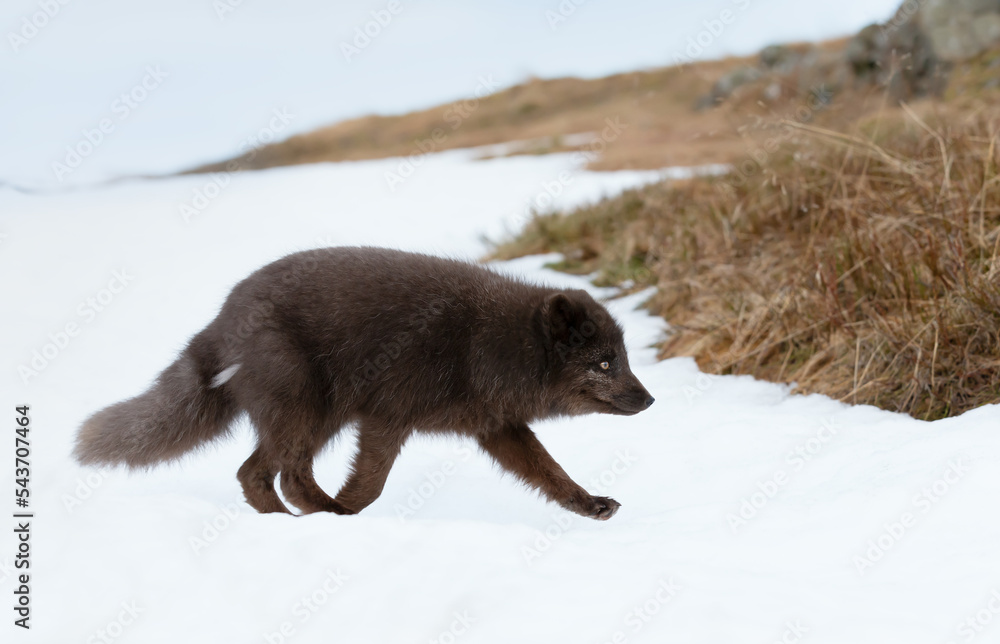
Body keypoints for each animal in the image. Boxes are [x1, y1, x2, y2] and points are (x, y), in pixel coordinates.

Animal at [74, 247, 654, 520]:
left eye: (623, 359)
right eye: (604, 364)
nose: (650, 399)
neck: (489, 345)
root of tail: (222, 317)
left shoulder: (498, 429)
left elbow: (552, 474)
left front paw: (590, 504)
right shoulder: (387, 417)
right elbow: (371, 485)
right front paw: (350, 512)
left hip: (317, 417)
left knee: (262, 473)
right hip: (307, 409)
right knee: (273, 474)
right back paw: (320, 516)